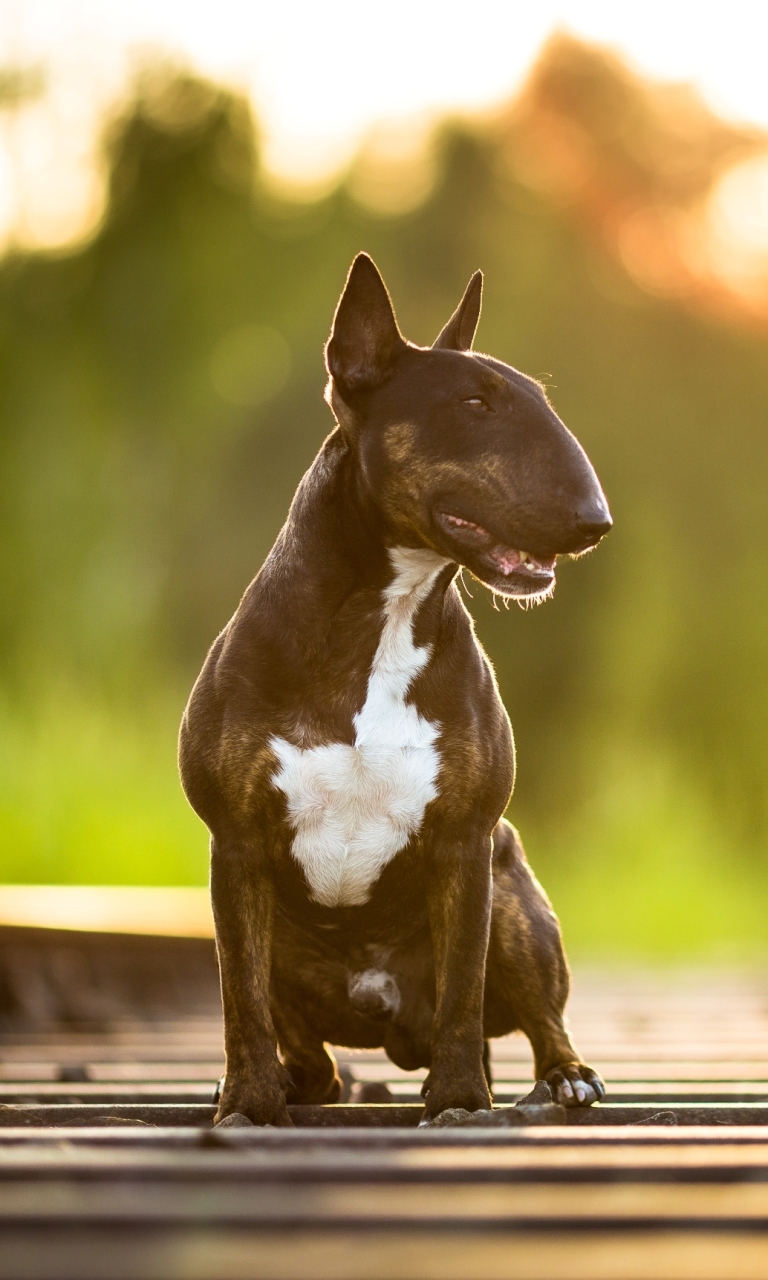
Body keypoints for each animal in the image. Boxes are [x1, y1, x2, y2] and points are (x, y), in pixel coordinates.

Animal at [177, 254, 611, 1126]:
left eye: (541, 402)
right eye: (474, 404)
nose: (596, 521)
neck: (383, 617)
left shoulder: (467, 845)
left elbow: (461, 990)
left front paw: (461, 1101)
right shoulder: (234, 846)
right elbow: (240, 996)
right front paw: (248, 1103)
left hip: (516, 898)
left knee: (535, 1015)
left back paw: (562, 1078)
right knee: (309, 1055)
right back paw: (287, 1085)